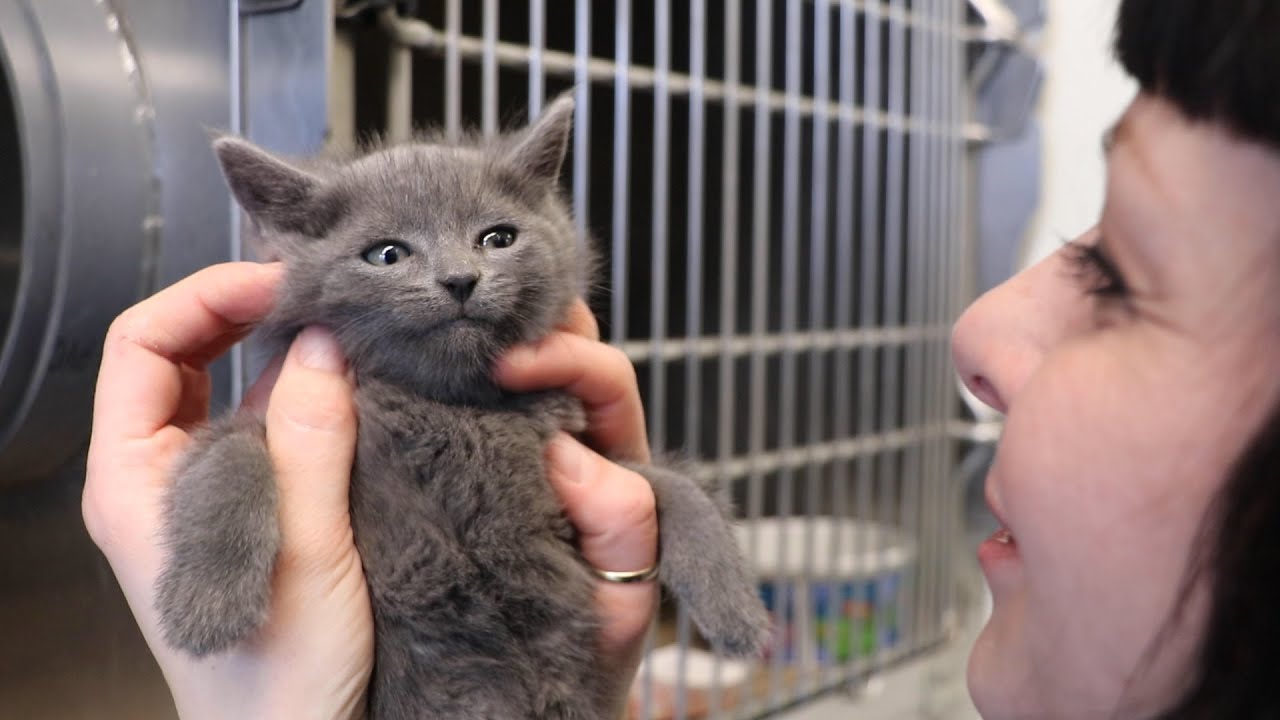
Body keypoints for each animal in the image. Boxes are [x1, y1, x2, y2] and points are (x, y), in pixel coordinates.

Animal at [152, 92, 768, 712]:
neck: (450, 406)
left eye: (498, 238)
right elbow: (228, 455)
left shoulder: (575, 446)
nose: (460, 279)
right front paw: (208, 601)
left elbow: (671, 484)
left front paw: (735, 606)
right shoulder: (267, 415)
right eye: (387, 254)